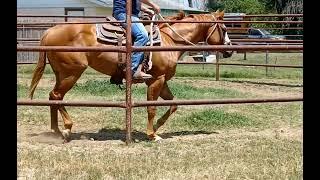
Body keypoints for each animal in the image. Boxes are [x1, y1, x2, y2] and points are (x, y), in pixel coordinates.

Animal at [28, 10, 231, 141]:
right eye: (225, 29)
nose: (229, 50)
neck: (170, 40)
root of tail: (49, 31)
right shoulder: (156, 80)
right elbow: (151, 108)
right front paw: (151, 135)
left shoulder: (161, 80)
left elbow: (173, 105)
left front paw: (157, 127)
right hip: (72, 73)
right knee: (56, 95)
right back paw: (67, 129)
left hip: (62, 74)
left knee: (53, 96)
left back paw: (56, 130)